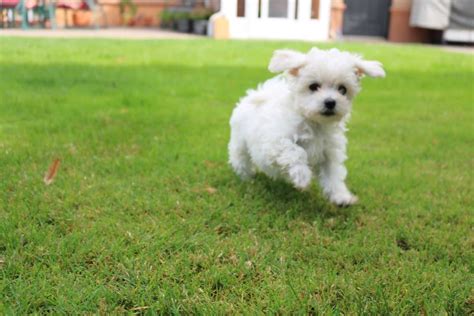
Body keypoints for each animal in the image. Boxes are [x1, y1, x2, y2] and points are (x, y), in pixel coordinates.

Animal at [227, 46, 386, 205]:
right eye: (313, 86)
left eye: (342, 89)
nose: (330, 102)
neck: (314, 123)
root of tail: (256, 94)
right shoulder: (274, 143)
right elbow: (295, 151)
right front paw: (302, 176)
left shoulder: (329, 154)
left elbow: (333, 175)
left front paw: (341, 196)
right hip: (240, 144)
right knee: (240, 160)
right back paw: (247, 178)